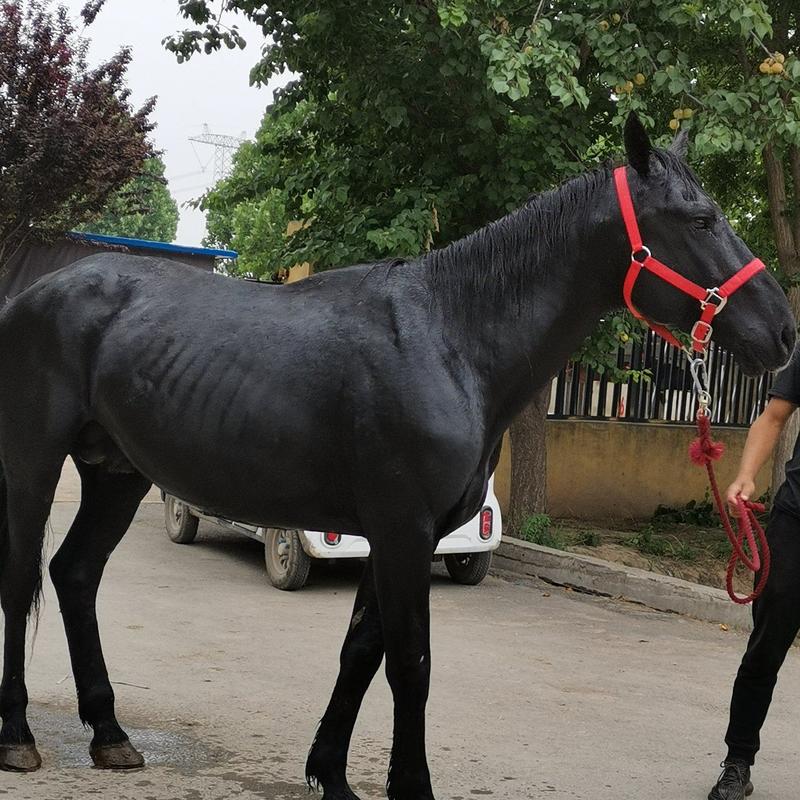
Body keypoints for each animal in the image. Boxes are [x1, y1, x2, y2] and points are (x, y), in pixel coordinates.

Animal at [0, 115, 792, 796]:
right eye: (699, 220)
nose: (784, 331)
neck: (451, 338)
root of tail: (33, 294)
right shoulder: (404, 531)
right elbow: (411, 664)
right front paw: (410, 786)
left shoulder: (393, 534)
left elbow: (361, 651)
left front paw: (332, 774)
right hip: (34, 463)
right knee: (23, 581)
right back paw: (19, 739)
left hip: (117, 473)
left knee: (75, 575)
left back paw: (109, 733)